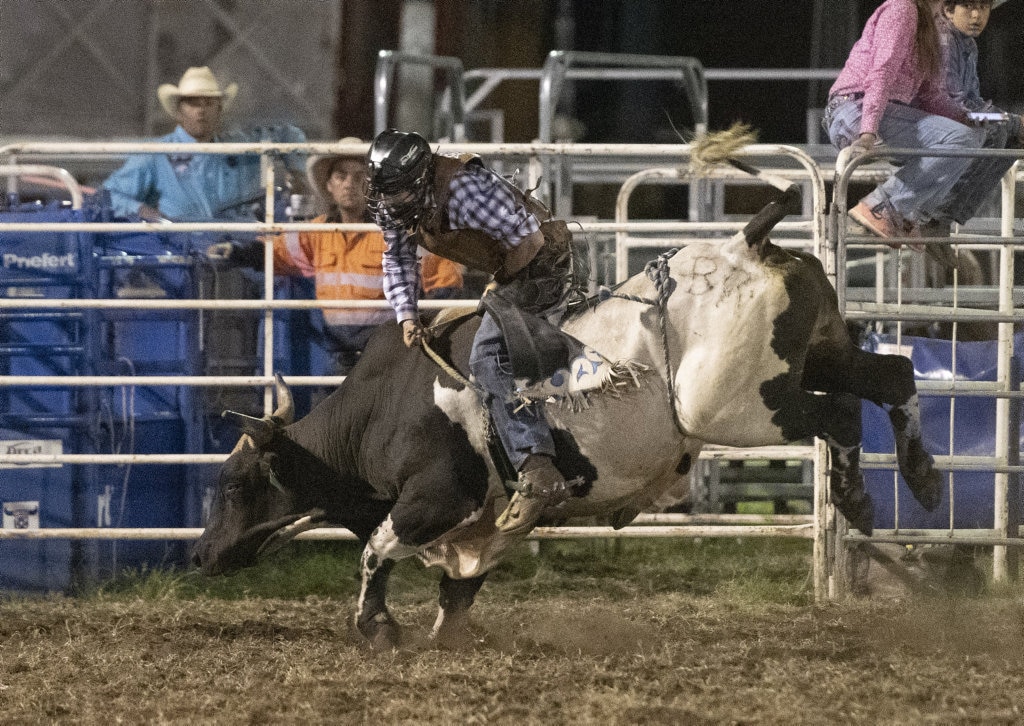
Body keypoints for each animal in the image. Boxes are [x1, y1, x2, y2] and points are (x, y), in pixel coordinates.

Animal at [188, 144, 937, 647]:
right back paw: (919, 480)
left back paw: (858, 496)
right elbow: (458, 586)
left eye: (232, 485)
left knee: (836, 412)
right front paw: (438, 634)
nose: (198, 556)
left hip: (744, 403)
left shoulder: (436, 497)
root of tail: (742, 244)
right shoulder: (479, 526)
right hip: (821, 350)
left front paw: (376, 627)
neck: (382, 413)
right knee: (892, 377)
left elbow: (376, 548)